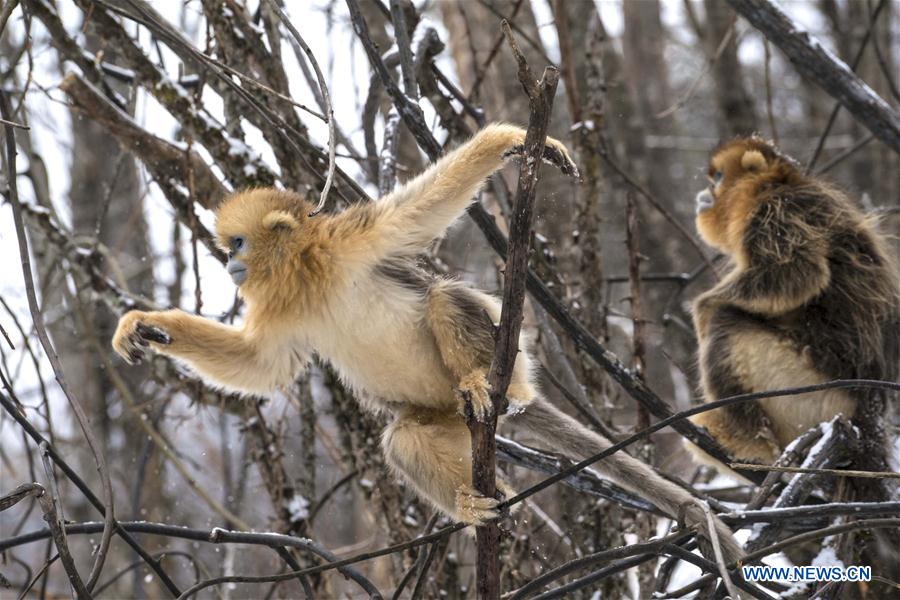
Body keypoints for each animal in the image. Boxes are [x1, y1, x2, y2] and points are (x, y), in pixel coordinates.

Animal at [112, 123, 743, 563]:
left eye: (238, 242)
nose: (229, 264)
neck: (308, 275)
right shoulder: (281, 313)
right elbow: (260, 367)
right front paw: (146, 326)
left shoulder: (354, 239)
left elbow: (425, 208)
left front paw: (512, 140)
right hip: (436, 416)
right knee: (404, 440)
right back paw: (473, 500)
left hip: (508, 356)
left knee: (442, 299)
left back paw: (491, 384)